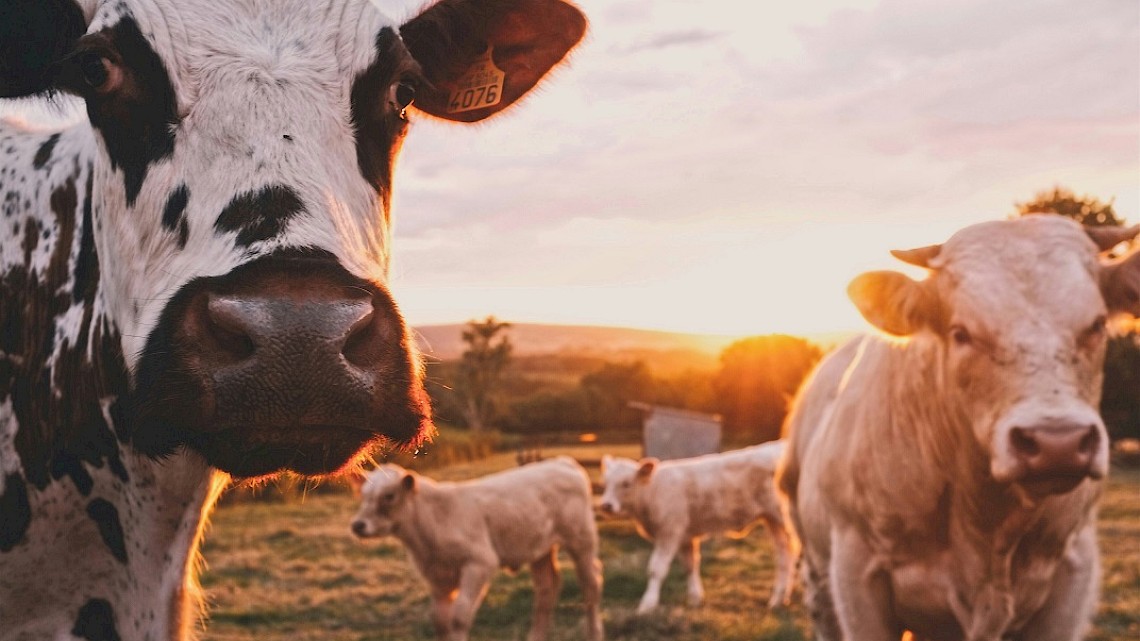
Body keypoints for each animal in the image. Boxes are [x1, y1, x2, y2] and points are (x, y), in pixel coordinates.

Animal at [348, 453, 606, 638]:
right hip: (539, 548)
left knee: (591, 585)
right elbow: (440, 620)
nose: (358, 525)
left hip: (582, 539)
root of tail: (562, 462)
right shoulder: (436, 576)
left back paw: (594, 633)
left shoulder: (480, 562)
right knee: (546, 589)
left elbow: (459, 617)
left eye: (389, 495)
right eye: (363, 494)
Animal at [597, 442, 793, 611]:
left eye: (626, 483)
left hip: (784, 518)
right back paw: (778, 599)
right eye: (605, 483)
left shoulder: (669, 532)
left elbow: (656, 569)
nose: (606, 505)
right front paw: (695, 598)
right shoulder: (685, 536)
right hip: (773, 520)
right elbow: (690, 566)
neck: (652, 492)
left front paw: (648, 604)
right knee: (784, 556)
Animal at [775, 214, 1140, 638]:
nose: (1057, 444)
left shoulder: (1072, 575)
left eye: (1096, 324)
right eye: (961, 332)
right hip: (815, 567)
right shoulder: (856, 575)